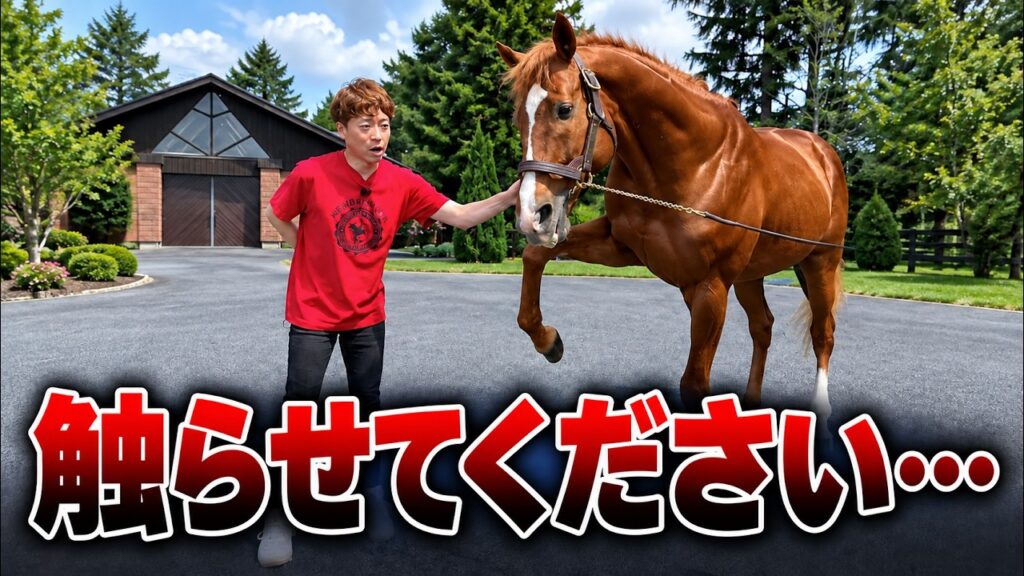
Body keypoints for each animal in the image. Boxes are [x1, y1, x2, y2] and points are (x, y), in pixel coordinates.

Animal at [497, 14, 848, 425]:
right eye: (518, 116)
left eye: (564, 109)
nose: (531, 215)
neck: (694, 163)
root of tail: (823, 154)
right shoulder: (622, 246)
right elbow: (534, 258)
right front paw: (548, 340)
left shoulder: (711, 286)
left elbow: (694, 384)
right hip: (751, 275)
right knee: (763, 328)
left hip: (820, 262)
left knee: (823, 333)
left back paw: (820, 408)